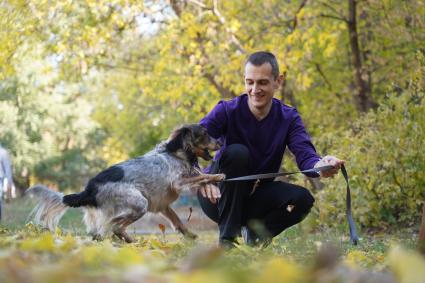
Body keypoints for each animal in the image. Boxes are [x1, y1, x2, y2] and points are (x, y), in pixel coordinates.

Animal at [26, 125, 224, 243]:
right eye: (205, 134)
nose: (220, 141)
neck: (175, 153)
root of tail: (89, 189)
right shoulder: (178, 182)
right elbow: (201, 177)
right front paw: (218, 176)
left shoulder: (161, 204)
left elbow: (178, 221)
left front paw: (190, 236)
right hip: (140, 203)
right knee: (113, 226)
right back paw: (132, 242)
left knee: (104, 230)